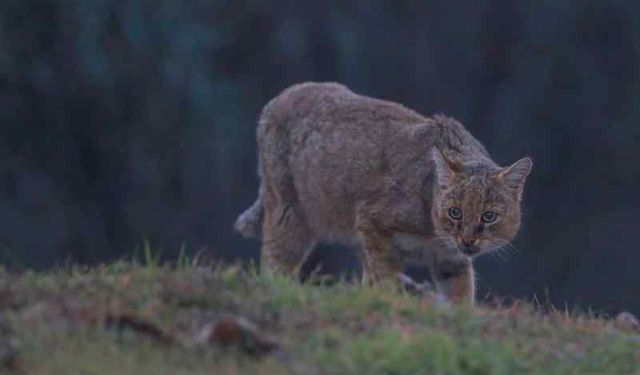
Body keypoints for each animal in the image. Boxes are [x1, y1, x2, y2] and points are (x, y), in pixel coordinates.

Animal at [234, 83, 528, 306]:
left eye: (489, 216)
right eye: (455, 212)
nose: (467, 240)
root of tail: (279, 98)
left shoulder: (450, 259)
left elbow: (462, 293)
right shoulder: (372, 222)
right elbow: (385, 275)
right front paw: (392, 300)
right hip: (290, 215)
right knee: (274, 262)